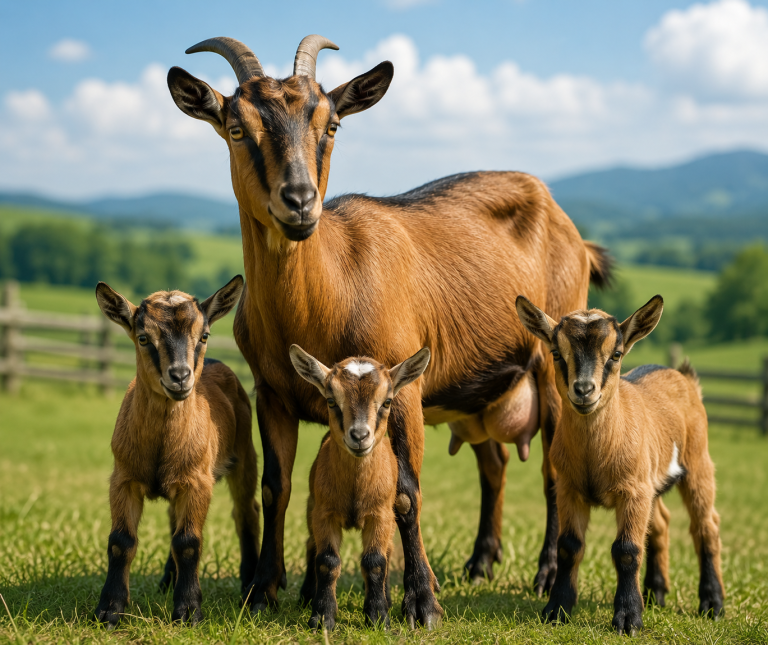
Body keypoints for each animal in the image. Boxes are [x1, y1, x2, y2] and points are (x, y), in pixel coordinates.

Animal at [92, 276, 259, 627]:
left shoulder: (197, 481)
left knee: (246, 512)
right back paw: (168, 581)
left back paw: (250, 584)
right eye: (143, 337)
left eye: (204, 335)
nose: (181, 376)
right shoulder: (123, 478)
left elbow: (188, 543)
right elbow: (121, 541)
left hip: (244, 456)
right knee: (173, 521)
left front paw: (188, 610)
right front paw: (109, 610)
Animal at [289, 345, 431, 629]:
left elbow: (375, 561)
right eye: (331, 400)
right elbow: (327, 560)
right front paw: (322, 617)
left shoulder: (380, 515)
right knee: (311, 544)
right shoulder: (324, 513)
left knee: (387, 552)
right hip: (311, 507)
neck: (355, 490)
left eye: (387, 401)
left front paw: (378, 617)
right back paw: (307, 595)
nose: (359, 436)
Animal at [516, 294, 724, 635]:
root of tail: (682, 376)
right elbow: (569, 546)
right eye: (557, 353)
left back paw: (712, 604)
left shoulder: (632, 492)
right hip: (651, 481)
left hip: (697, 461)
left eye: (615, 354)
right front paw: (557, 609)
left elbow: (627, 550)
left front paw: (628, 619)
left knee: (705, 525)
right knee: (661, 523)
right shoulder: (570, 489)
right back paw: (656, 594)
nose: (584, 390)